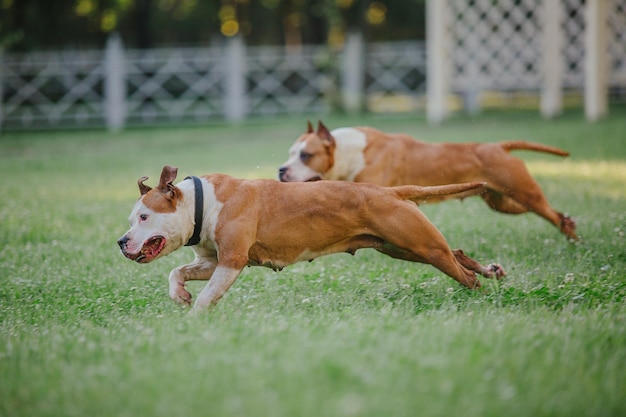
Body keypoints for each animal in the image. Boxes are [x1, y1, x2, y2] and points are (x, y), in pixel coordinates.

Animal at [118, 165, 502, 308]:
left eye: (144, 217)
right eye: (131, 219)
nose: (121, 241)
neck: (203, 203)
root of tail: (390, 192)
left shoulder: (231, 261)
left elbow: (207, 296)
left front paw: (195, 318)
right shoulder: (211, 261)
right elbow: (177, 271)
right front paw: (179, 293)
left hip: (421, 246)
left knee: (462, 273)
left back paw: (482, 295)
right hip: (404, 248)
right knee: (458, 253)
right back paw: (490, 270)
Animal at [278, 120, 576, 239]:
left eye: (305, 155)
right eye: (290, 153)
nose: (281, 170)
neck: (347, 151)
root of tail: (498, 146)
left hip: (524, 193)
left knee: (551, 214)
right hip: (504, 202)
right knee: (555, 213)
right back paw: (570, 224)